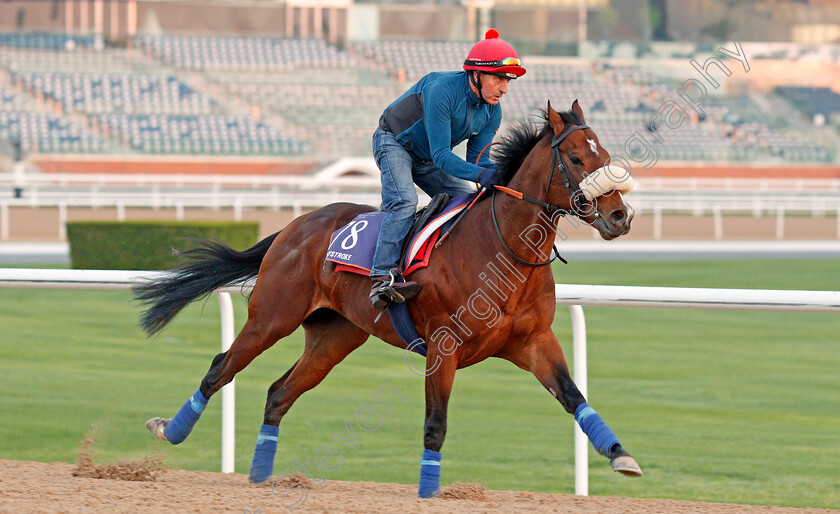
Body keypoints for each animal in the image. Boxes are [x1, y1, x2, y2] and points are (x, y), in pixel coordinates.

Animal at [136, 98, 644, 494]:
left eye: (606, 153)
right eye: (576, 159)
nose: (620, 216)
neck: (503, 250)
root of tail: (294, 226)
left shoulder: (535, 341)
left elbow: (574, 396)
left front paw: (621, 455)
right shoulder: (443, 346)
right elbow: (435, 425)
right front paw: (428, 491)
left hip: (334, 337)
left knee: (279, 393)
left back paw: (261, 476)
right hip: (271, 318)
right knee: (221, 367)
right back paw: (170, 430)